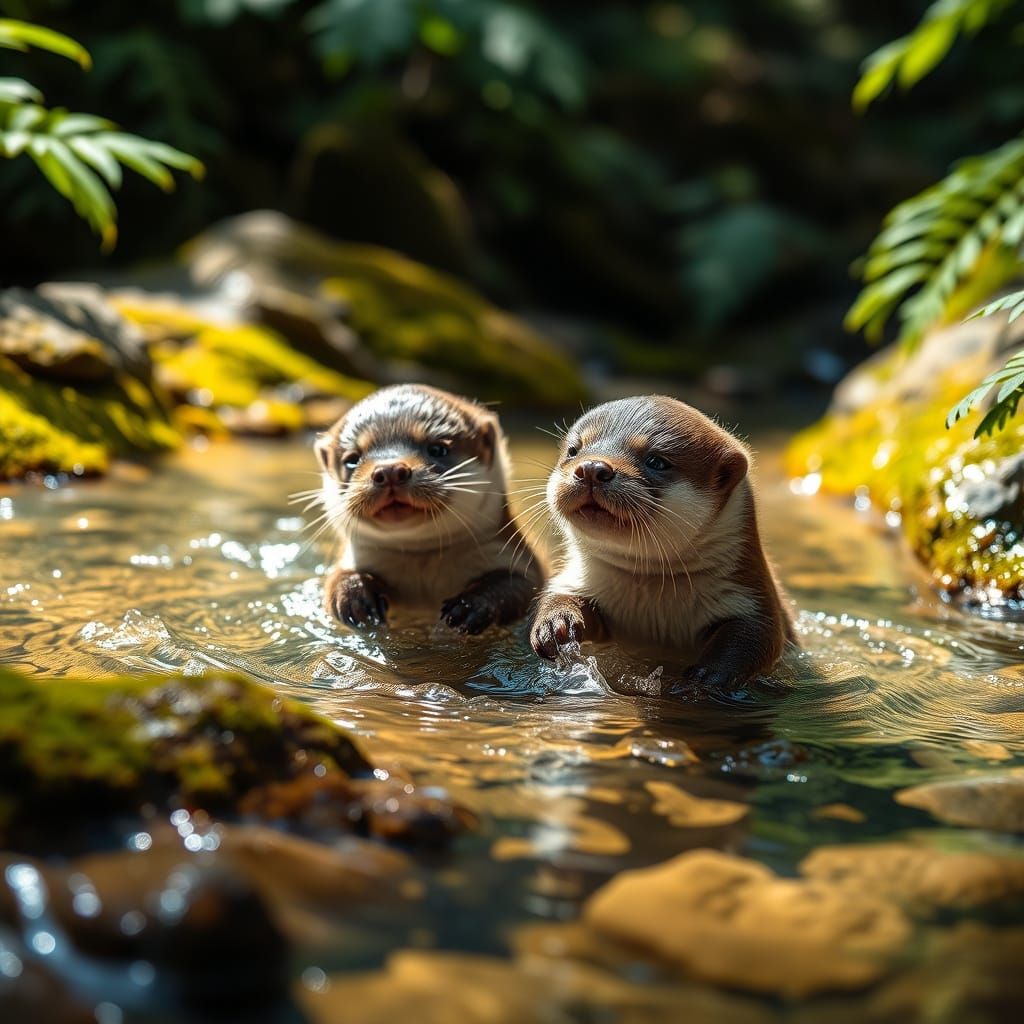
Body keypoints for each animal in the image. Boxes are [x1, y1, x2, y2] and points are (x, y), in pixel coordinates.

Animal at [315, 384, 541, 634]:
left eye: (438, 449)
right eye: (352, 459)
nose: (390, 470)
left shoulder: (518, 558)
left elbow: (517, 586)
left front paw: (471, 606)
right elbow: (335, 580)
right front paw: (355, 598)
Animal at [530, 396, 794, 686]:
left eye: (656, 461)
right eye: (573, 450)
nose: (591, 468)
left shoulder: (750, 597)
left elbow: (757, 637)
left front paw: (710, 676)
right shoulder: (576, 579)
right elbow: (562, 596)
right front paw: (556, 623)